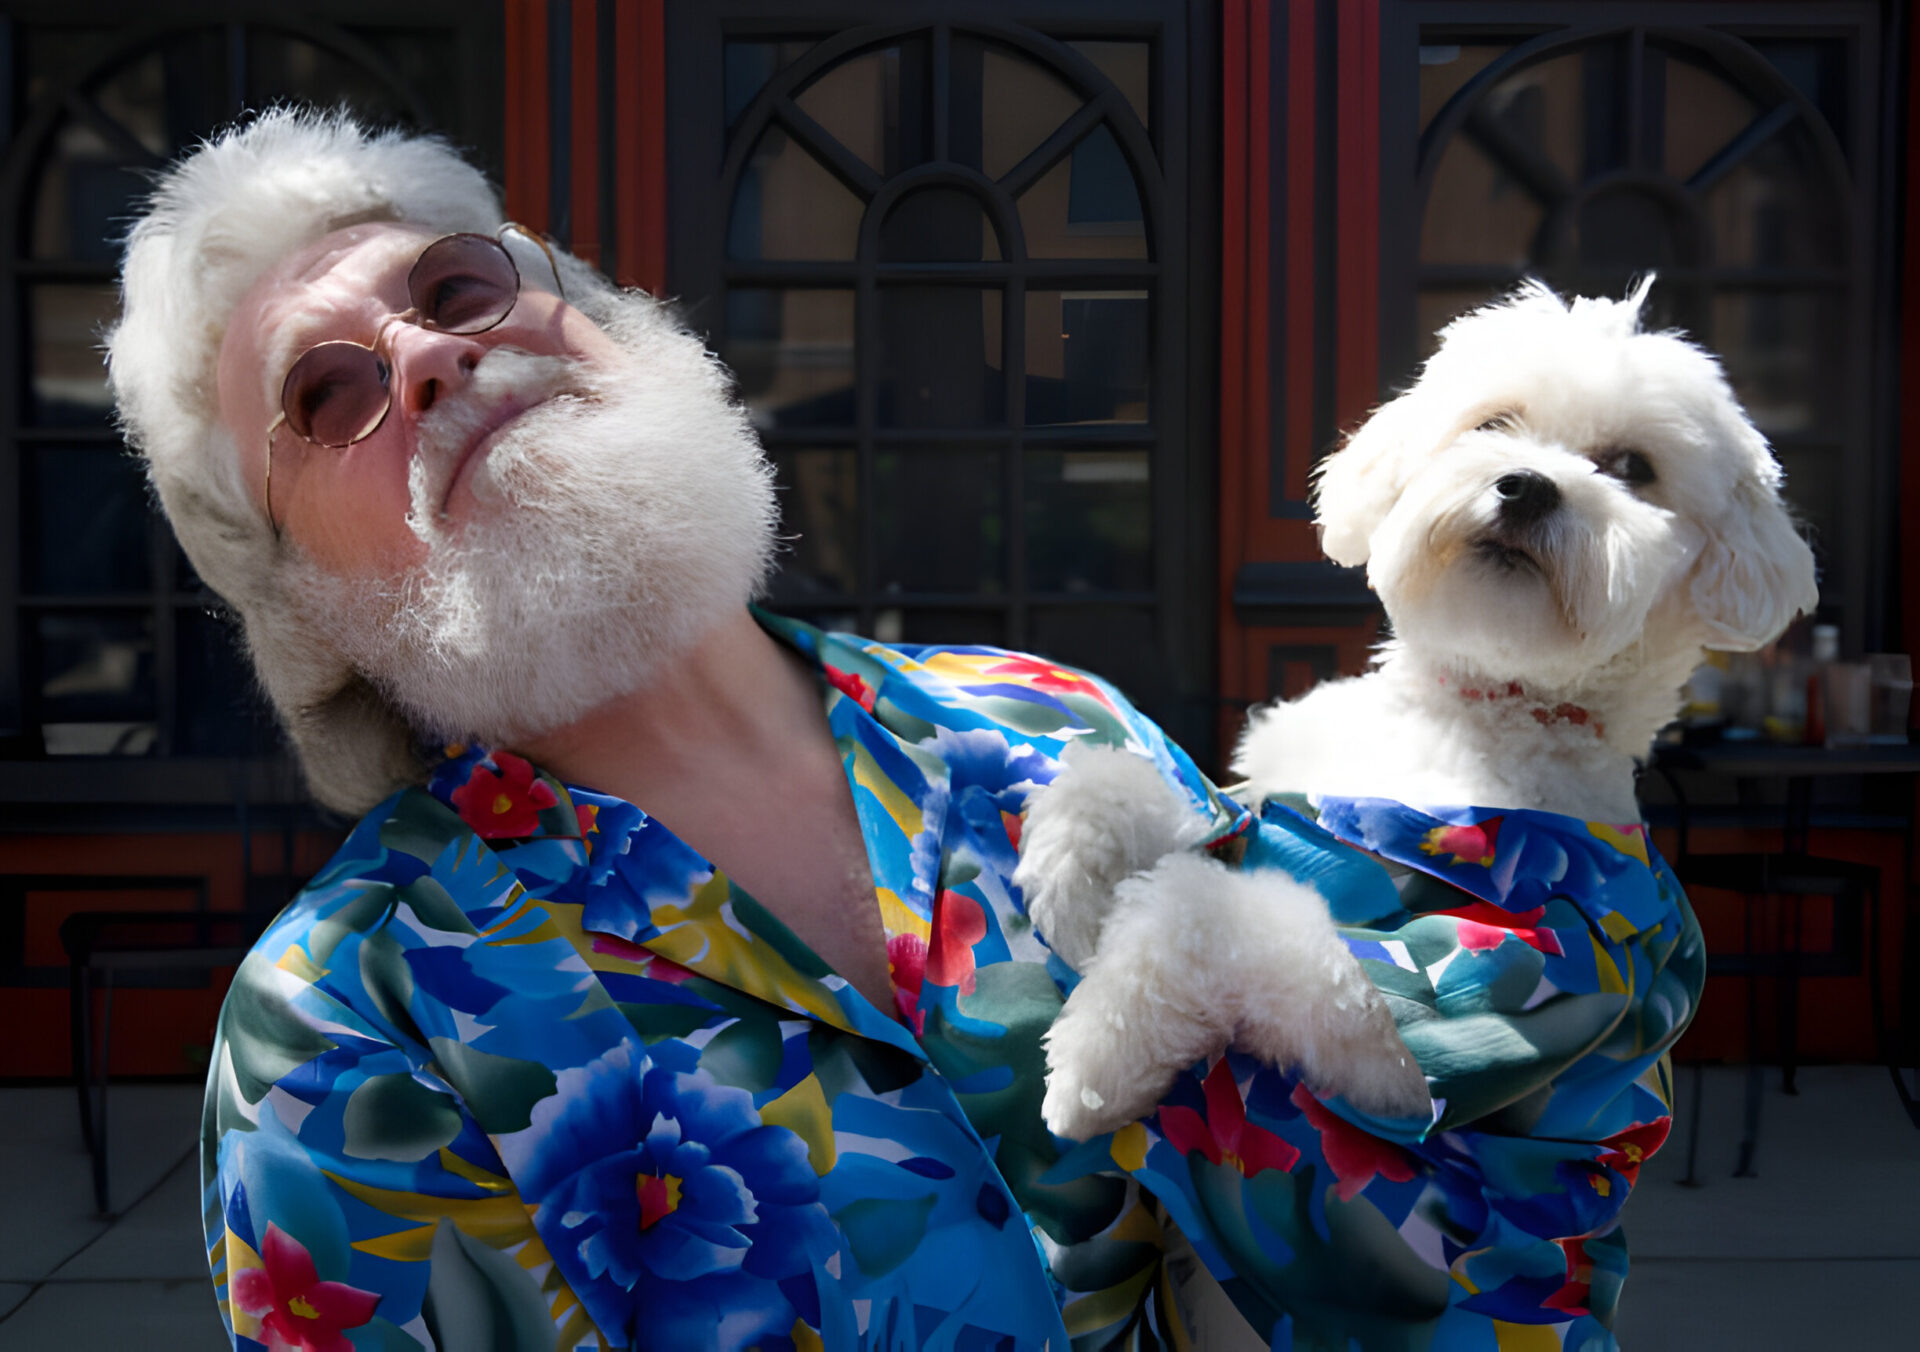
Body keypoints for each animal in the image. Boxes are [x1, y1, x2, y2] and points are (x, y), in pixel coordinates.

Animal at [1021, 282, 1812, 1136]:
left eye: (1635, 468)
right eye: (1493, 424)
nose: (1528, 485)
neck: (1473, 712)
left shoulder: (1451, 1000)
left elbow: (1209, 912)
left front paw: (1100, 1059)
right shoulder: (1261, 799)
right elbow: (1142, 789)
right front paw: (1071, 880)